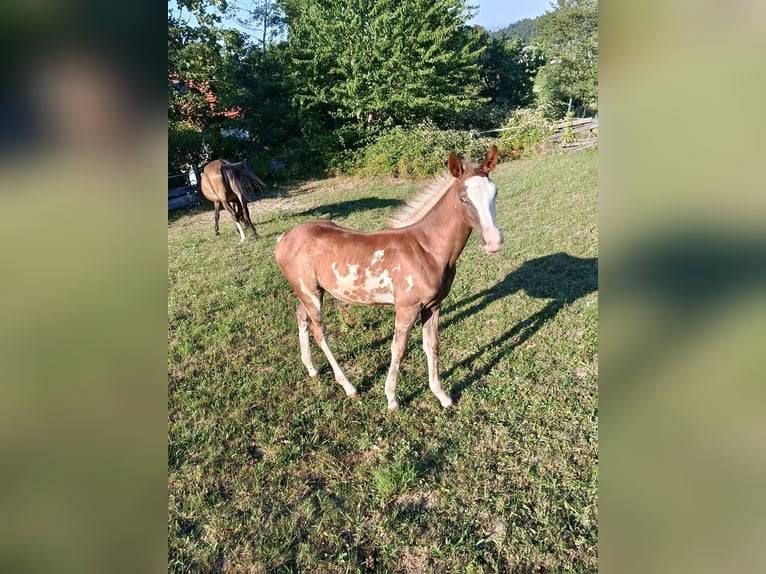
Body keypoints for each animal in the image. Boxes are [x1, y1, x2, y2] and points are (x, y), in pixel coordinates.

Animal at [275, 145, 502, 411]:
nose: (493, 242)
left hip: (308, 291)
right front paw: (392, 398)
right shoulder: (406, 307)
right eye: (464, 198)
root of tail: (285, 237)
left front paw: (442, 395)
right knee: (320, 332)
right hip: (310, 293)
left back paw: (311, 368)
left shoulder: (433, 306)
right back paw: (349, 386)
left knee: (301, 316)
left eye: (495, 193)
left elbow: (432, 346)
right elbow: (399, 349)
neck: (427, 249)